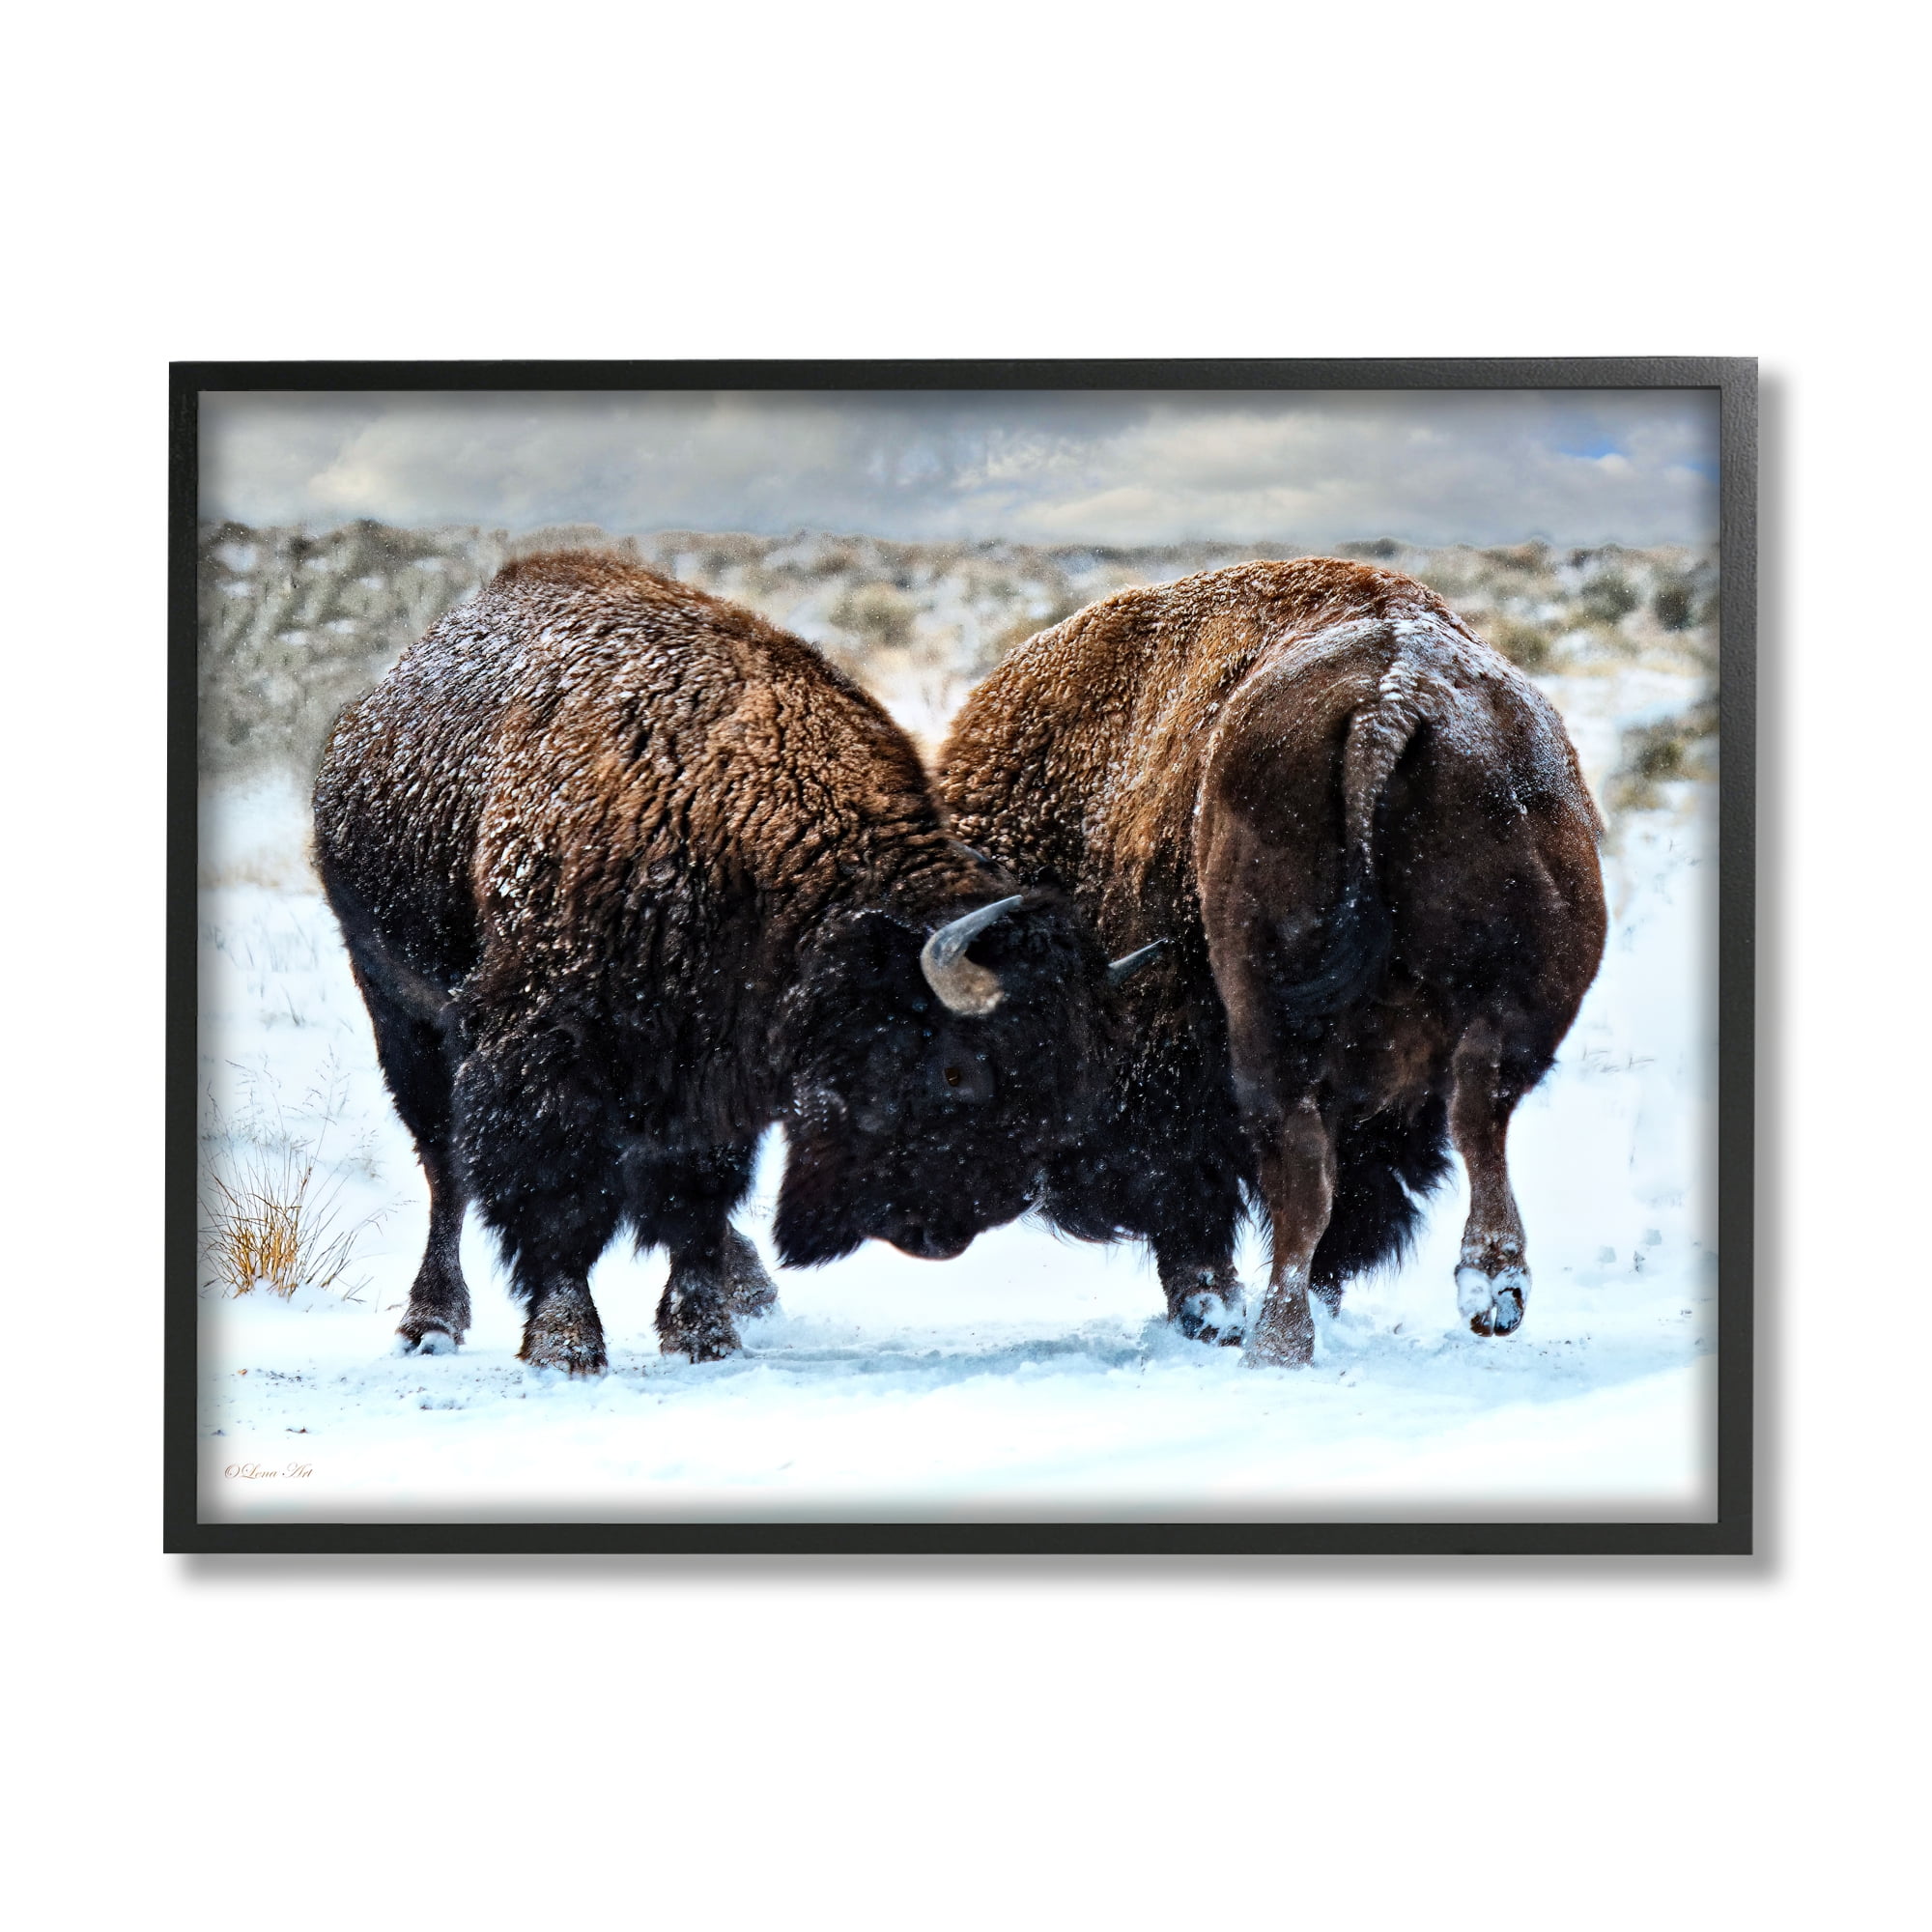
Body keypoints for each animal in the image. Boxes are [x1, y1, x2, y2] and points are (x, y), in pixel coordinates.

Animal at [313, 551, 1139, 1373]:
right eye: (955, 1071)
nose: (966, 1222)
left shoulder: (712, 1070)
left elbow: (694, 1198)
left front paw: (705, 1333)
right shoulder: (543, 1054)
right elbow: (559, 1200)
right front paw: (566, 1344)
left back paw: (749, 1290)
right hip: (399, 1010)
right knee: (444, 1167)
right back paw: (430, 1322)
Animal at [939, 558, 1608, 1366]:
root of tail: (1391, 701)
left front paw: (1213, 1312)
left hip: (1266, 1019)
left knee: (1304, 1165)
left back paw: (1275, 1342)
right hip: (1527, 993)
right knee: (1480, 1107)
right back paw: (1492, 1289)